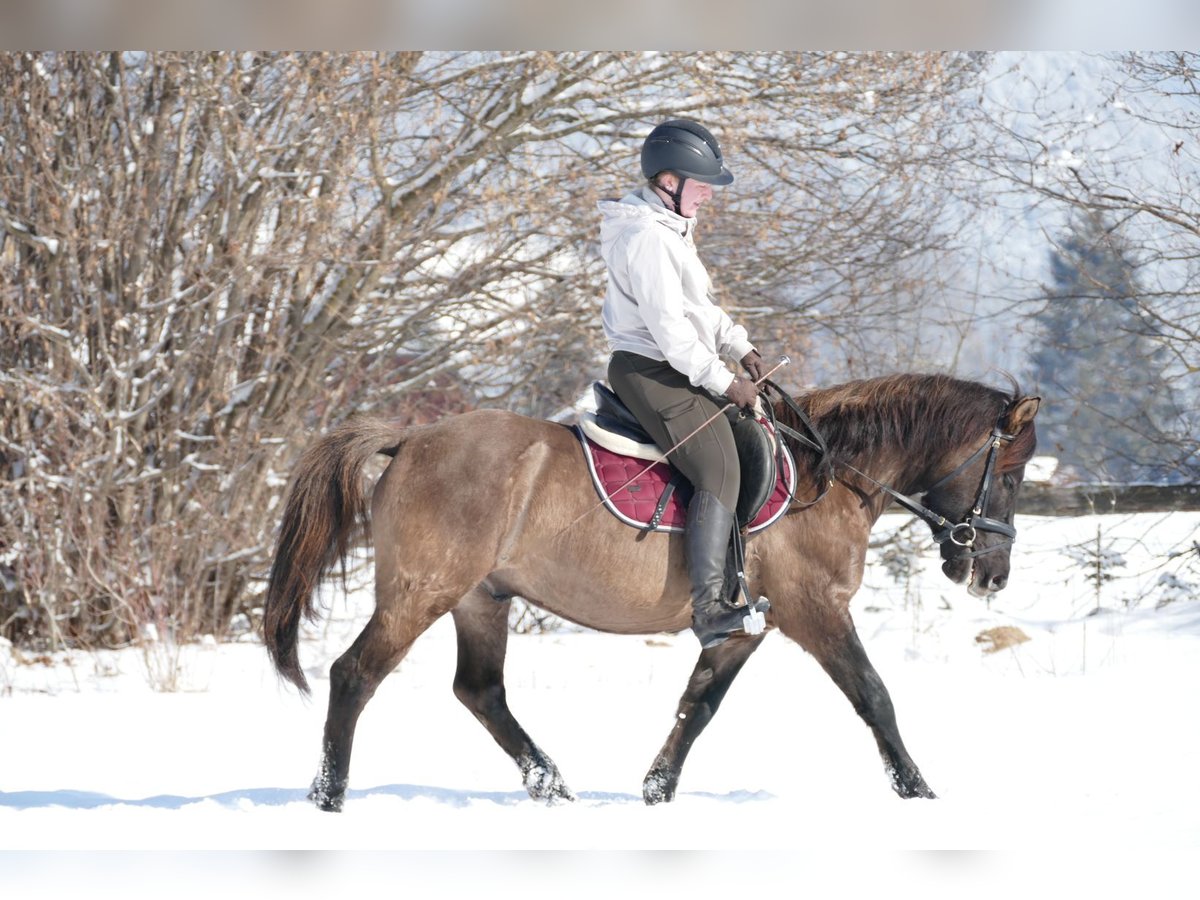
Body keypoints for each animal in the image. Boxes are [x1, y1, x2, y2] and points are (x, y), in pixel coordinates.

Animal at [265, 369, 1041, 816]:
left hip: (480, 599)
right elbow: (874, 697)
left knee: (479, 692)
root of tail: (410, 439)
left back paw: (552, 785)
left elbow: (698, 707)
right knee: (355, 674)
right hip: (420, 592)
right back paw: (328, 799)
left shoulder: (745, 628)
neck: (830, 477)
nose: (992, 576)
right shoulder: (816, 613)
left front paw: (657, 791)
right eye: (1009, 473)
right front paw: (920, 793)